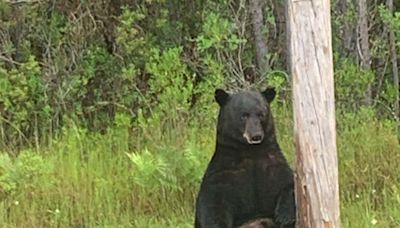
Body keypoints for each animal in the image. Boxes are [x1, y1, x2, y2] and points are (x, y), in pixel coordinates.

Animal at [195, 88, 296, 227]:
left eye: (261, 114)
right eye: (244, 115)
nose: (256, 136)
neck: (251, 152)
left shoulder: (273, 164)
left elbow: (288, 182)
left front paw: (284, 215)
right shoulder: (223, 174)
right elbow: (213, 205)